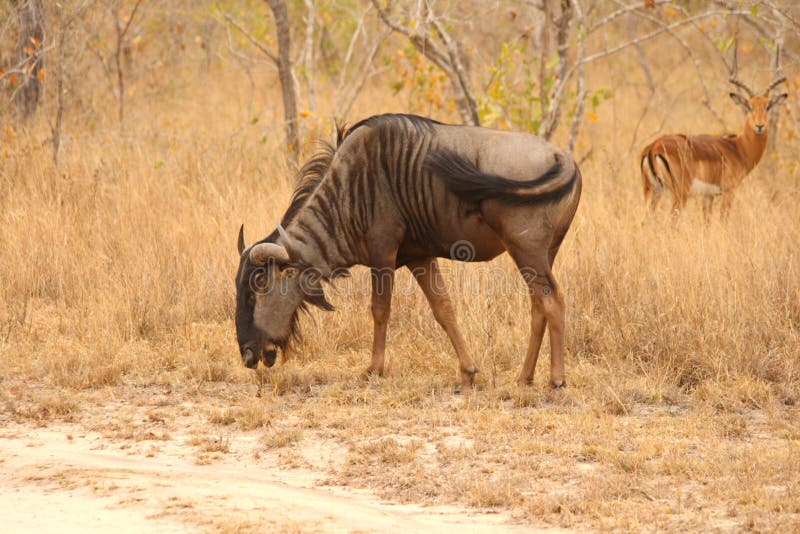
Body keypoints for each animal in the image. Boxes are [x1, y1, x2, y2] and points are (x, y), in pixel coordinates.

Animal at [235, 114, 581, 389]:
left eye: (258, 287)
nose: (247, 354)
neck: (348, 192)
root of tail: (561, 157)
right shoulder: (420, 258)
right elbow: (443, 309)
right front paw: (467, 372)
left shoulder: (383, 253)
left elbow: (379, 310)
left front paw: (373, 369)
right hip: (541, 254)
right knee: (538, 305)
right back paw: (524, 377)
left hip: (527, 251)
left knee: (553, 301)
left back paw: (556, 379)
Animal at [640, 50, 787, 221]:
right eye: (749, 106)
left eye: (768, 106)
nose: (760, 126)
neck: (739, 149)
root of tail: (653, 147)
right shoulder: (729, 192)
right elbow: (724, 220)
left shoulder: (708, 196)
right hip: (679, 194)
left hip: (652, 191)